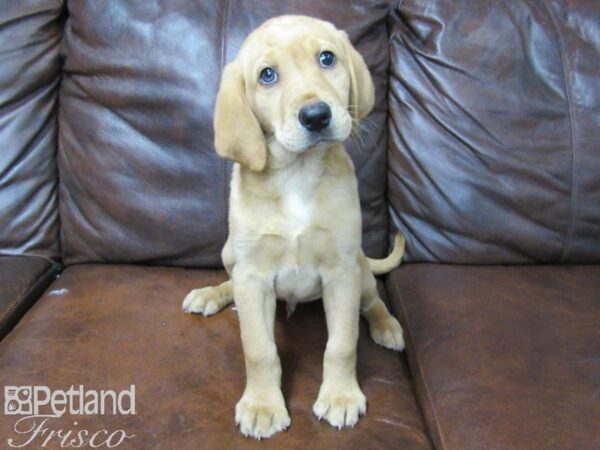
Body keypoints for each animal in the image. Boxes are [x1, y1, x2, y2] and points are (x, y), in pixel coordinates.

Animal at [183, 14, 406, 440]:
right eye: (267, 75)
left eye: (327, 58)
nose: (316, 116)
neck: (297, 176)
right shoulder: (252, 276)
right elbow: (258, 350)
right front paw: (262, 405)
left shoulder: (341, 272)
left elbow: (342, 344)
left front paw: (340, 396)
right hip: (230, 254)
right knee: (230, 283)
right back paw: (212, 294)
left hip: (361, 269)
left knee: (373, 301)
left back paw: (386, 325)